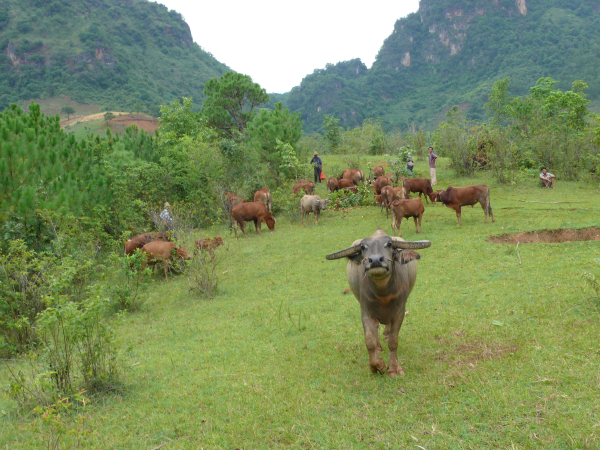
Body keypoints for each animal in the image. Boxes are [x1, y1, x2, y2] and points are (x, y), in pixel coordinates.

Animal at [328, 230, 432, 374]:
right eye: (362, 247)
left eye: (389, 244)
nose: (376, 260)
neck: (383, 295)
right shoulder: (366, 312)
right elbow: (369, 340)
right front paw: (377, 365)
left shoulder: (399, 312)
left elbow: (393, 341)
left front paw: (393, 368)